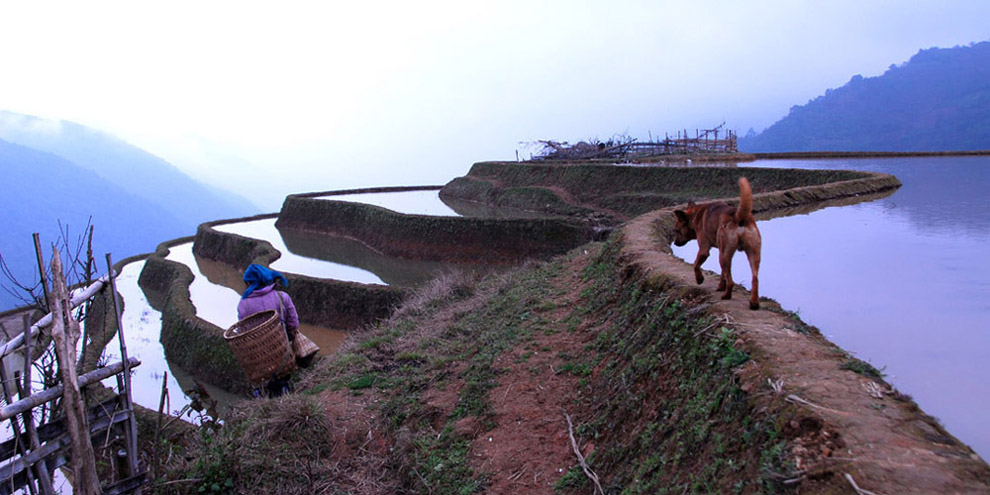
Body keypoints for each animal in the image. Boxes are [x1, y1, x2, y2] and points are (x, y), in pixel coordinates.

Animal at [680, 178, 764, 310]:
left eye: (676, 230)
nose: (675, 243)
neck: (696, 214)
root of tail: (738, 216)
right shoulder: (721, 250)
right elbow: (722, 273)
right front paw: (720, 286)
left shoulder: (704, 250)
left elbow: (695, 265)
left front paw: (699, 279)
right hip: (751, 255)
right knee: (754, 279)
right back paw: (754, 303)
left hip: (724, 256)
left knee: (731, 282)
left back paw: (727, 295)